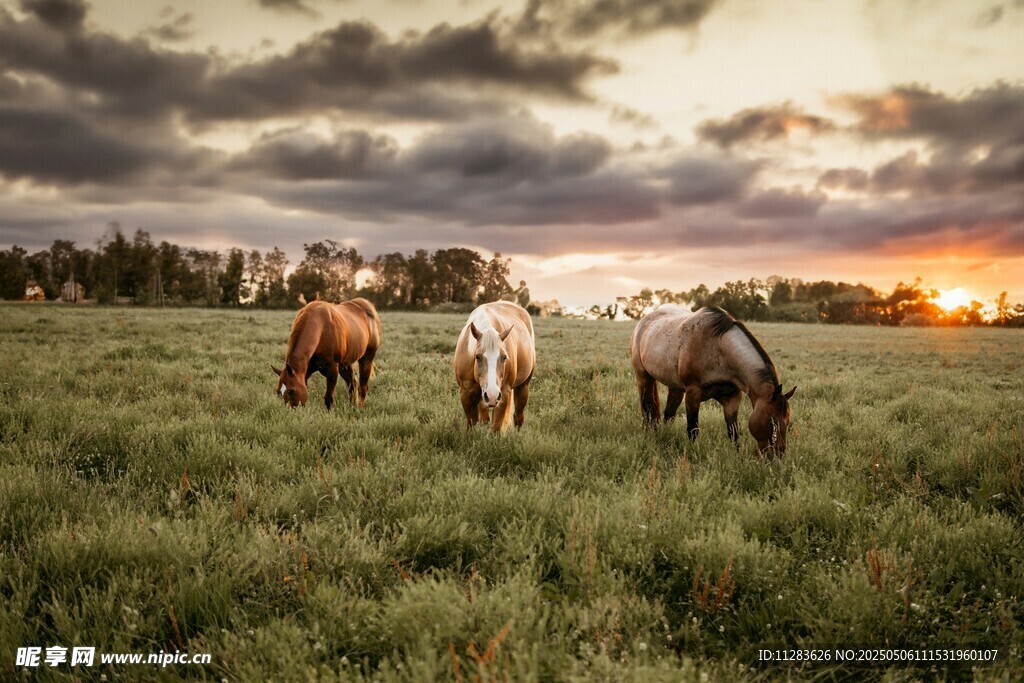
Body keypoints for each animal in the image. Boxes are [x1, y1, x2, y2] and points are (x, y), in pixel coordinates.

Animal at [454, 301, 536, 432]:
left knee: (518, 417)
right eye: (477, 357)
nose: (492, 395)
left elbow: (496, 428)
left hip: (523, 387)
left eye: (504, 357)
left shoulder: (503, 395)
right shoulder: (466, 394)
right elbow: (471, 424)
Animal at [630, 305, 795, 454]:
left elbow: (733, 432)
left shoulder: (732, 398)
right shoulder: (693, 394)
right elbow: (693, 430)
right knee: (648, 409)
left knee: (668, 413)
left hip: (675, 387)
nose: (777, 455)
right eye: (772, 421)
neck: (718, 349)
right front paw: (693, 454)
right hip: (644, 378)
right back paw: (652, 434)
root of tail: (644, 321)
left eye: (787, 421)